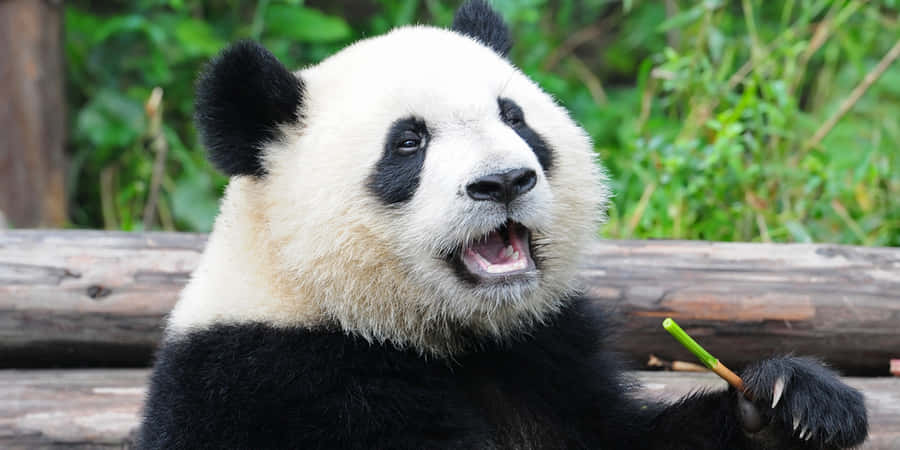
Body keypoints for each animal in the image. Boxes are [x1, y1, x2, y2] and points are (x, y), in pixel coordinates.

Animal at [138, 2, 868, 449]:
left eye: (514, 117)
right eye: (408, 144)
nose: (504, 182)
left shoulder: (543, 354)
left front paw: (790, 404)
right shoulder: (283, 382)